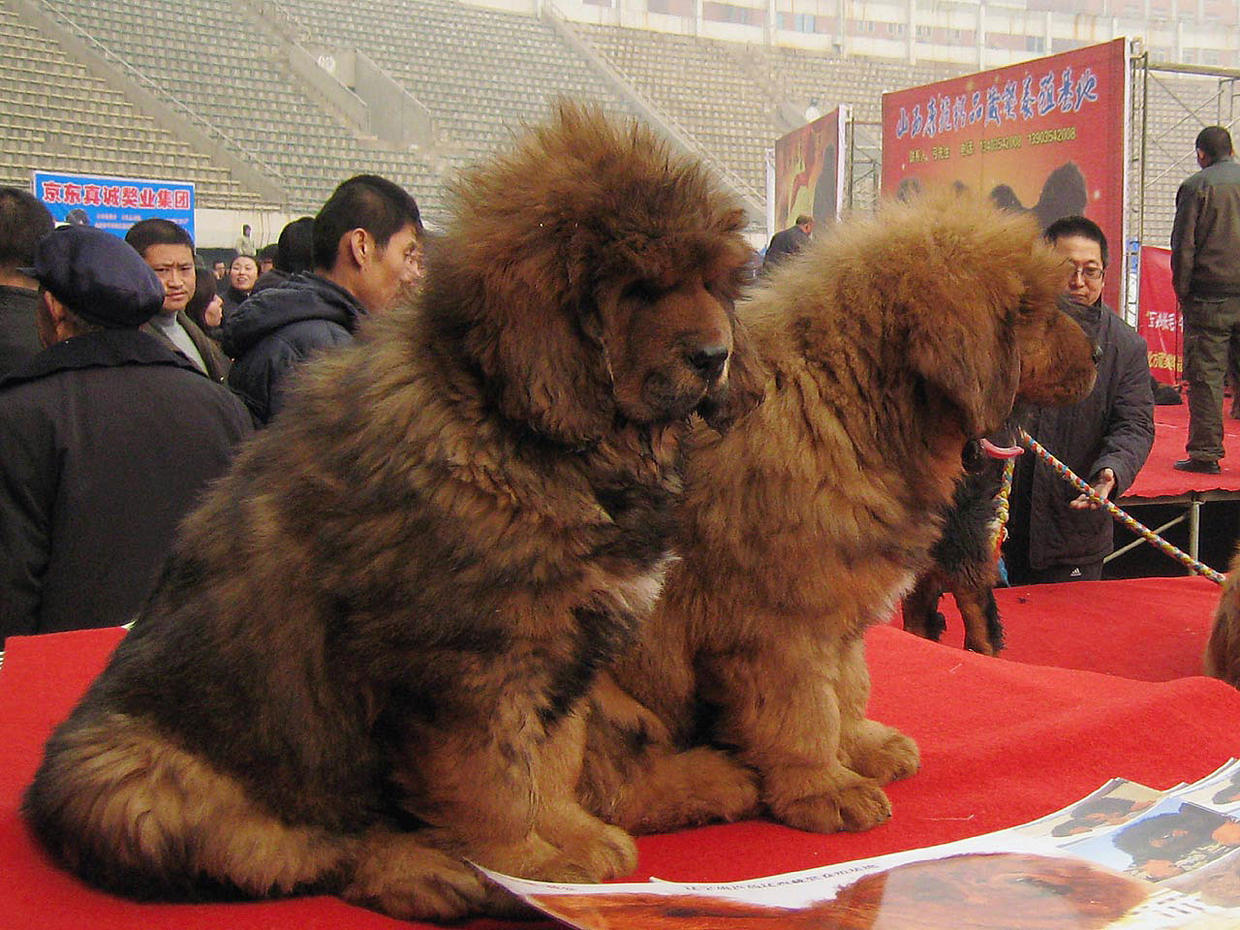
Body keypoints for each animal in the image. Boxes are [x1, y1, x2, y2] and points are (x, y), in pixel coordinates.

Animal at [21, 103, 763, 927]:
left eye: (710, 282)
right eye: (637, 289)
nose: (716, 355)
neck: (518, 430)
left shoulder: (562, 644)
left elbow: (553, 756)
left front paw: (568, 838)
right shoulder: (467, 662)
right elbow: (494, 782)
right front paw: (532, 869)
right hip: (129, 780)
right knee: (291, 849)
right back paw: (426, 872)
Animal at [580, 194, 1096, 838]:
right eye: (1039, 313)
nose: (1101, 353)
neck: (844, 399)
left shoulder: (842, 600)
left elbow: (848, 685)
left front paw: (862, 747)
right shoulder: (778, 618)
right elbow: (802, 711)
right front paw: (824, 788)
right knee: (608, 785)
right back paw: (716, 781)